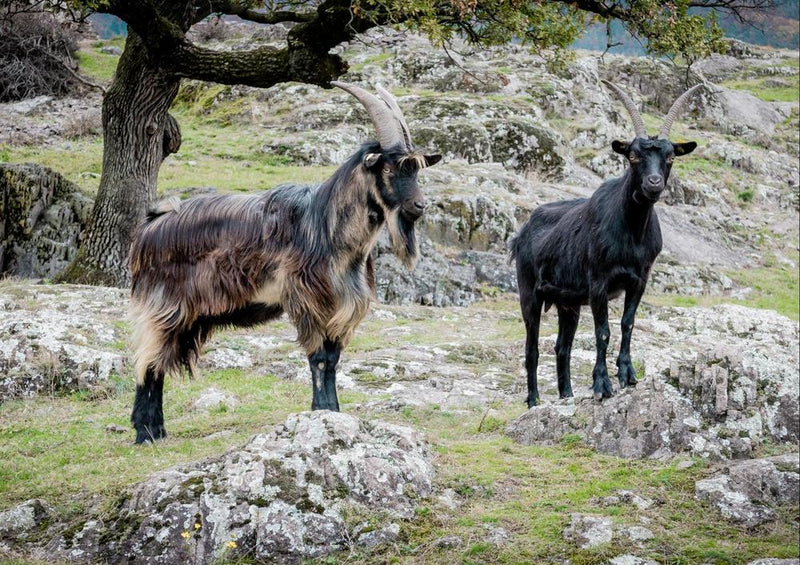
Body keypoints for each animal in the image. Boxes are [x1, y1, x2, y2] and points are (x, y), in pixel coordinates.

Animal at [132, 85, 444, 446]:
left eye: (417, 169)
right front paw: (321, 410)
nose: (419, 205)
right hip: (166, 306)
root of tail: (151, 225)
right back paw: (144, 431)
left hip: (189, 316)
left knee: (158, 362)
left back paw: (157, 430)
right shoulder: (307, 301)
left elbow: (333, 360)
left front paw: (333, 410)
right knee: (148, 360)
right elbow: (318, 359)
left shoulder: (341, 307)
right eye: (390, 169)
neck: (325, 226)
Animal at [510, 80, 704, 406]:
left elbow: (627, 323)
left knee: (562, 347)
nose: (653, 183)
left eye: (670, 157)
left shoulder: (639, 280)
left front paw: (628, 374)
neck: (631, 233)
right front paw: (602, 384)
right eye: (633, 156)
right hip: (530, 293)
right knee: (531, 348)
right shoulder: (598, 282)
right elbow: (603, 332)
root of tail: (521, 234)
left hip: (568, 302)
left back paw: (567, 395)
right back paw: (534, 400)